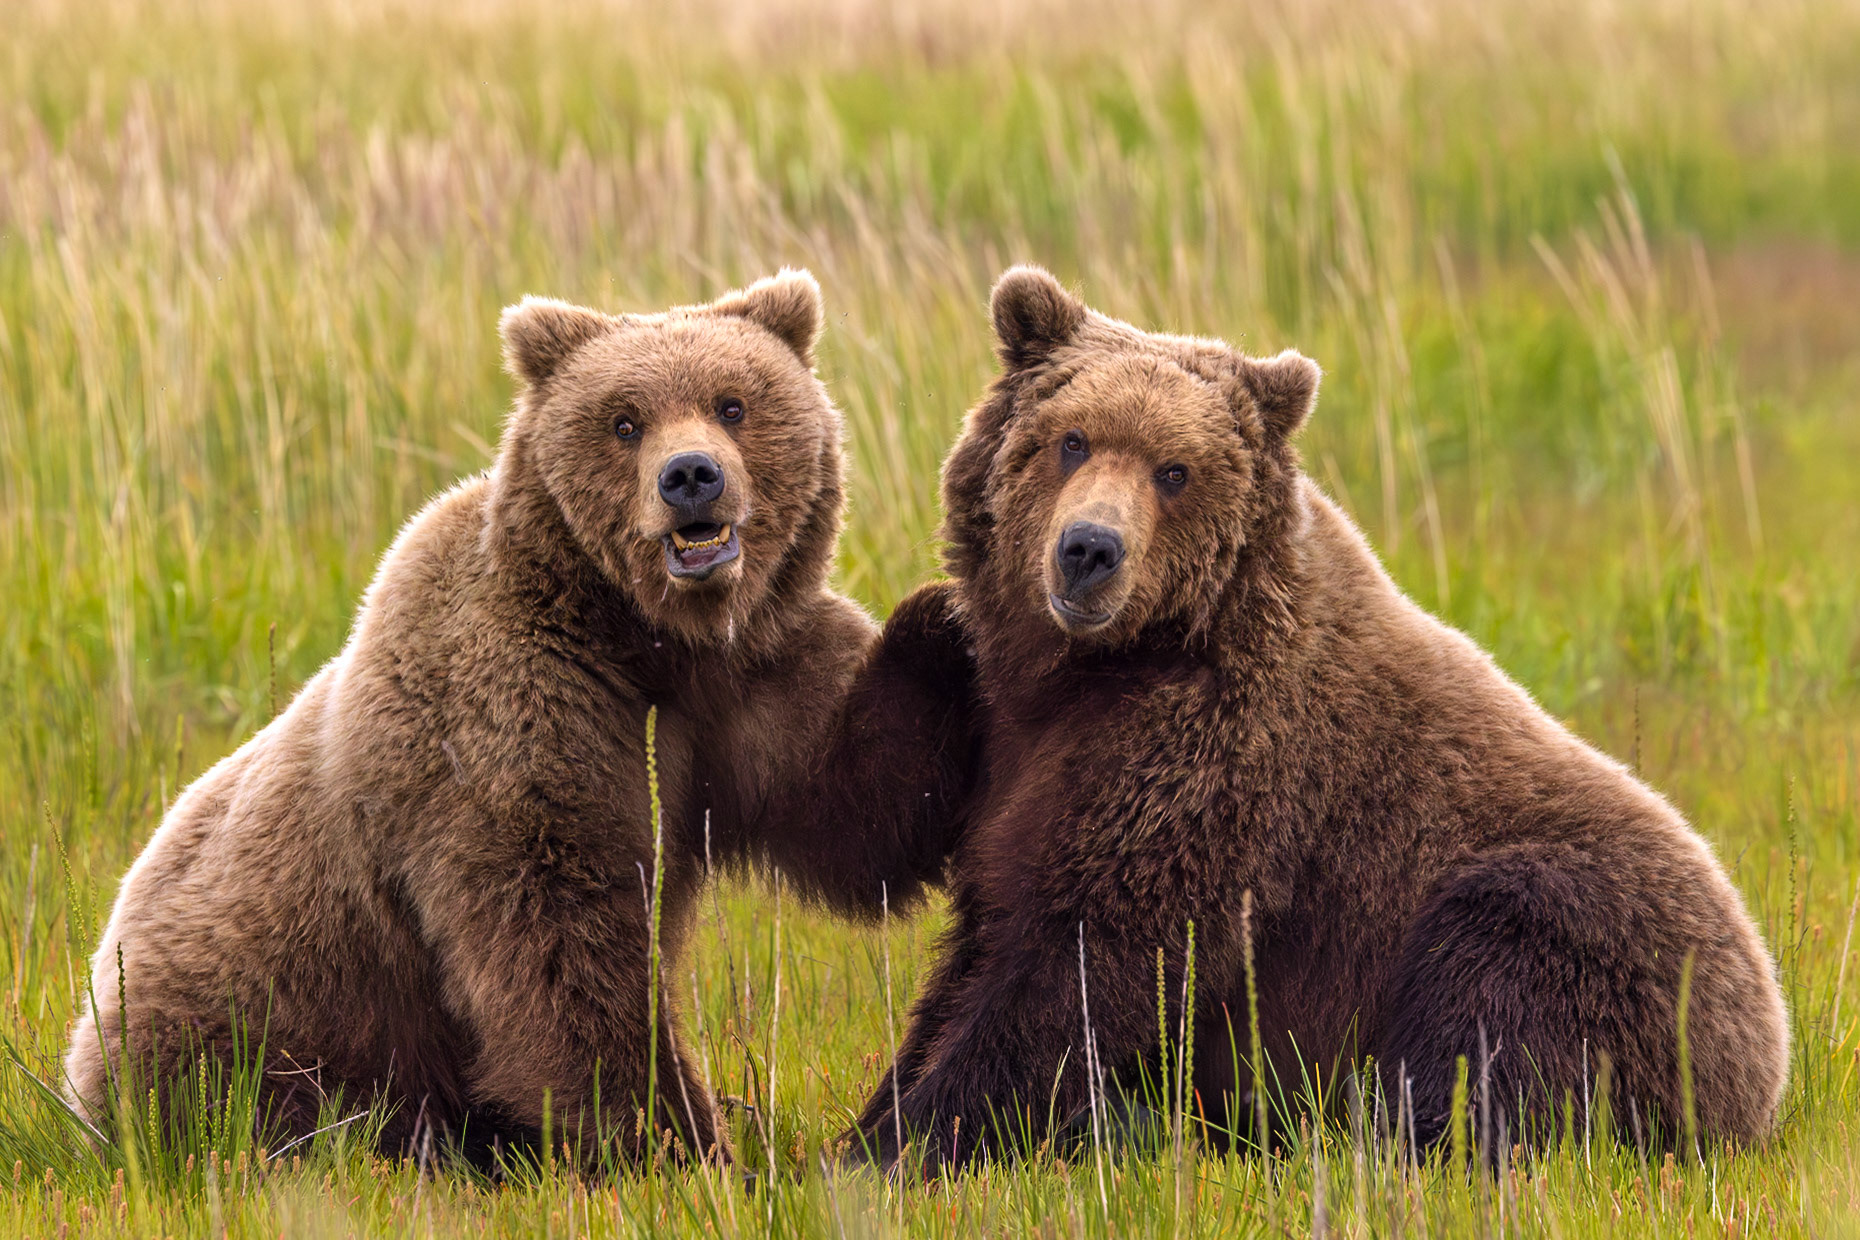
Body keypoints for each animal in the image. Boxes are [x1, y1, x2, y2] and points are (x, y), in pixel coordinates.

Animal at [62, 270, 962, 1168]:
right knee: (254, 1094)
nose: (691, 476)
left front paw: (944, 624)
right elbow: (561, 937)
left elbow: (855, 807)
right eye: (624, 421)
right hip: (255, 1004)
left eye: (732, 402)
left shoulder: (752, 687)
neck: (650, 639)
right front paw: (670, 1140)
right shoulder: (515, 710)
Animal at [845, 266, 1790, 1172]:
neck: (1107, 667)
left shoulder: (1209, 766)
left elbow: (1085, 960)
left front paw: (898, 1148)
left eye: (1174, 470)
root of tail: (1766, 1070)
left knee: (1484, 1018)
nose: (1089, 550)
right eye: (1070, 439)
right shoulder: (1014, 756)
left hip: (1581, 939)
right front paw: (867, 1125)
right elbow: (985, 931)